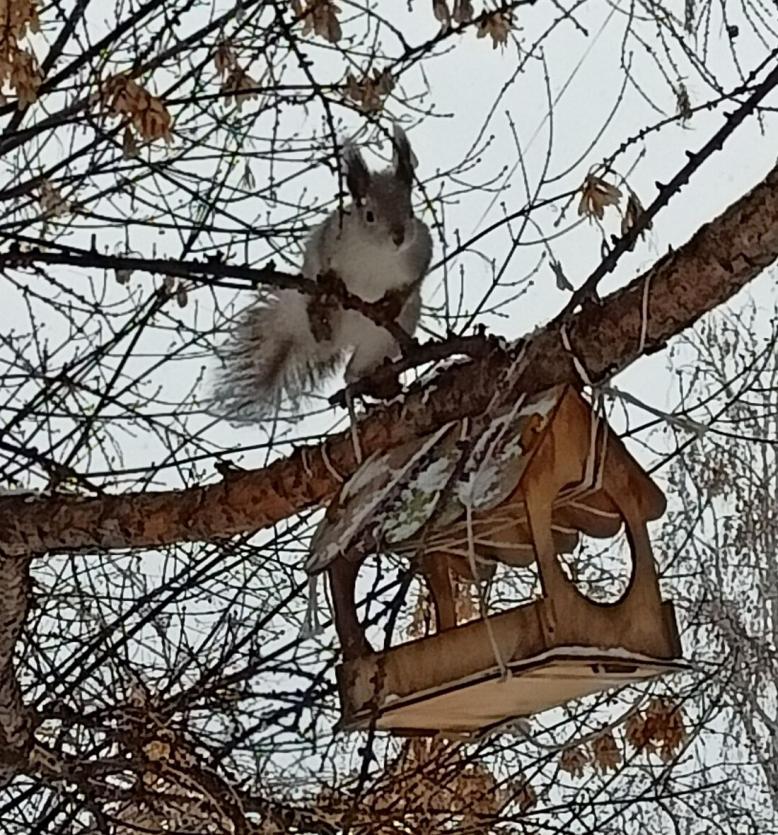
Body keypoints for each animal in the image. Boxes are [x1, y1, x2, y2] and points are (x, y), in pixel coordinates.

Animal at [211, 124, 430, 422]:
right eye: (369, 215)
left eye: (410, 211)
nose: (399, 237)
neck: (378, 253)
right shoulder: (329, 240)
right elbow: (324, 266)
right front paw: (333, 286)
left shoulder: (419, 253)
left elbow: (413, 283)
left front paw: (392, 304)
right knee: (318, 323)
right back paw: (321, 320)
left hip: (381, 341)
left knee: (351, 372)